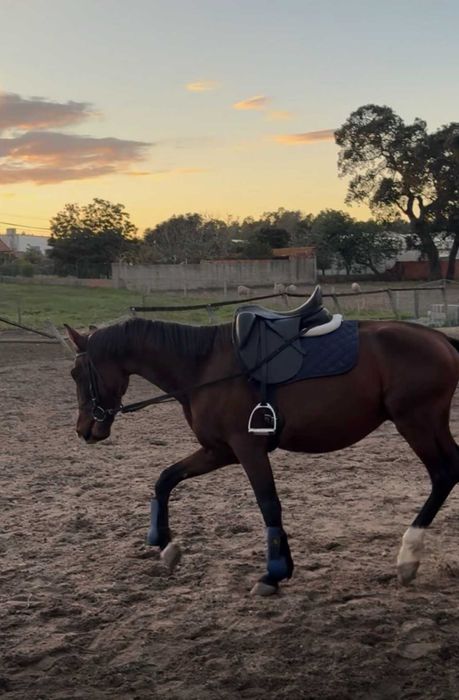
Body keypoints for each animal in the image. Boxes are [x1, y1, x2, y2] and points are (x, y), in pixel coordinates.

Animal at [65, 294, 459, 596]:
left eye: (77, 373)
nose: (84, 429)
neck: (203, 367)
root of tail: (439, 339)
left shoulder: (246, 448)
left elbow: (268, 504)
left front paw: (273, 573)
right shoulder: (218, 451)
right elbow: (166, 479)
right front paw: (166, 546)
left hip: (416, 421)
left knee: (442, 474)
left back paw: (408, 558)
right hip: (429, 422)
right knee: (450, 472)